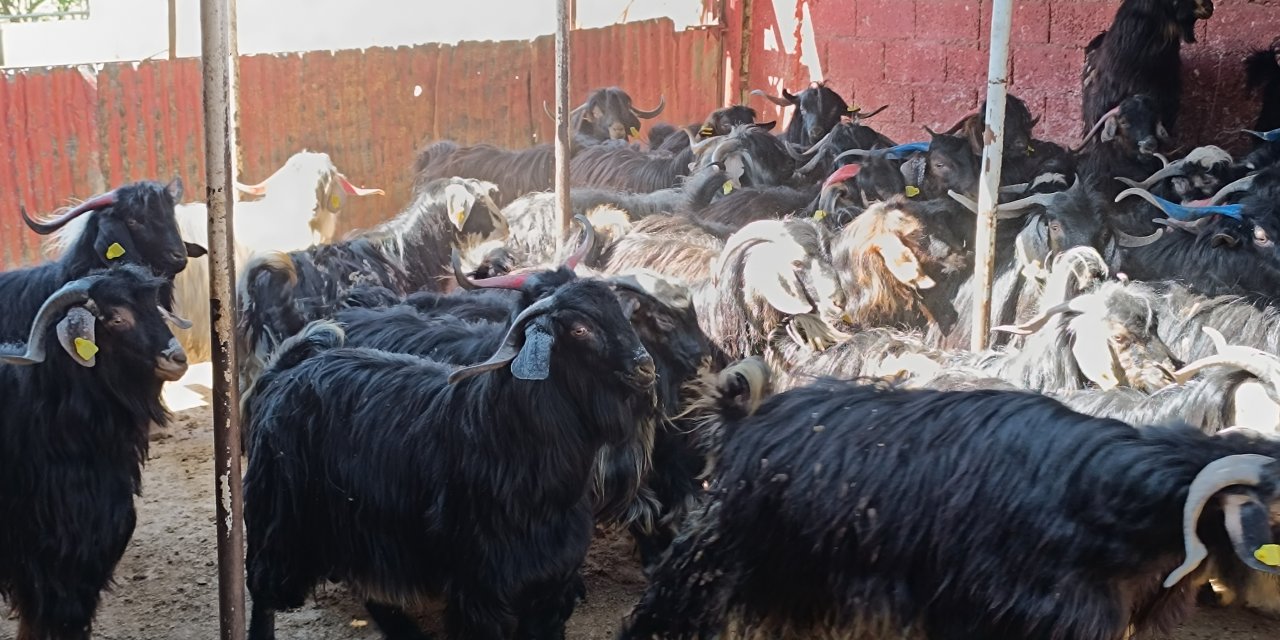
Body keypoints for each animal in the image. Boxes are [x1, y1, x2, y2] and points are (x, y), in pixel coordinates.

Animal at [243, 279, 655, 640]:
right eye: (581, 329)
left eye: (623, 317)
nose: (646, 367)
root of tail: (284, 373)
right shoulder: (481, 590)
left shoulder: (551, 586)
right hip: (279, 523)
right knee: (262, 593)